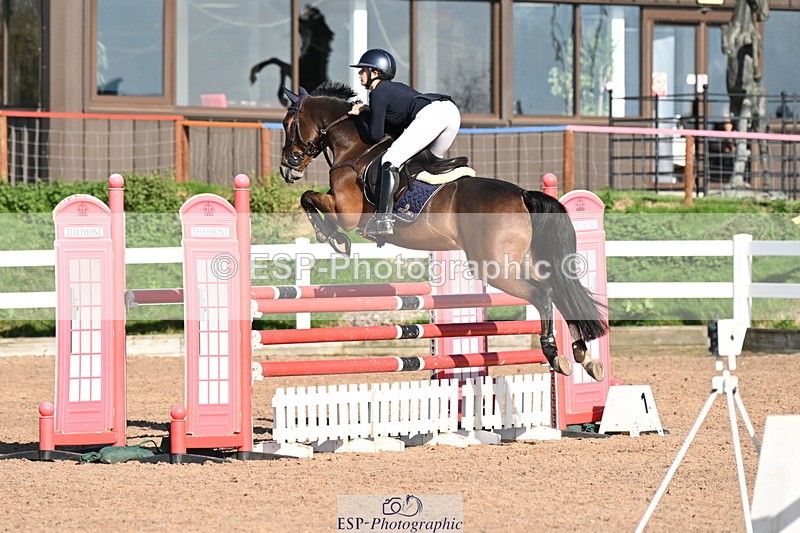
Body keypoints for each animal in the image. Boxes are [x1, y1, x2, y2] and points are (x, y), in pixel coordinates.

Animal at [277, 82, 608, 381]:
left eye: (289, 124)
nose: (286, 167)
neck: (356, 148)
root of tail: (523, 195)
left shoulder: (347, 213)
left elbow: (308, 197)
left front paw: (334, 239)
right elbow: (309, 197)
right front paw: (330, 237)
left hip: (494, 267)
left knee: (543, 294)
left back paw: (554, 354)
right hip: (521, 261)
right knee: (560, 289)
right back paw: (584, 355)